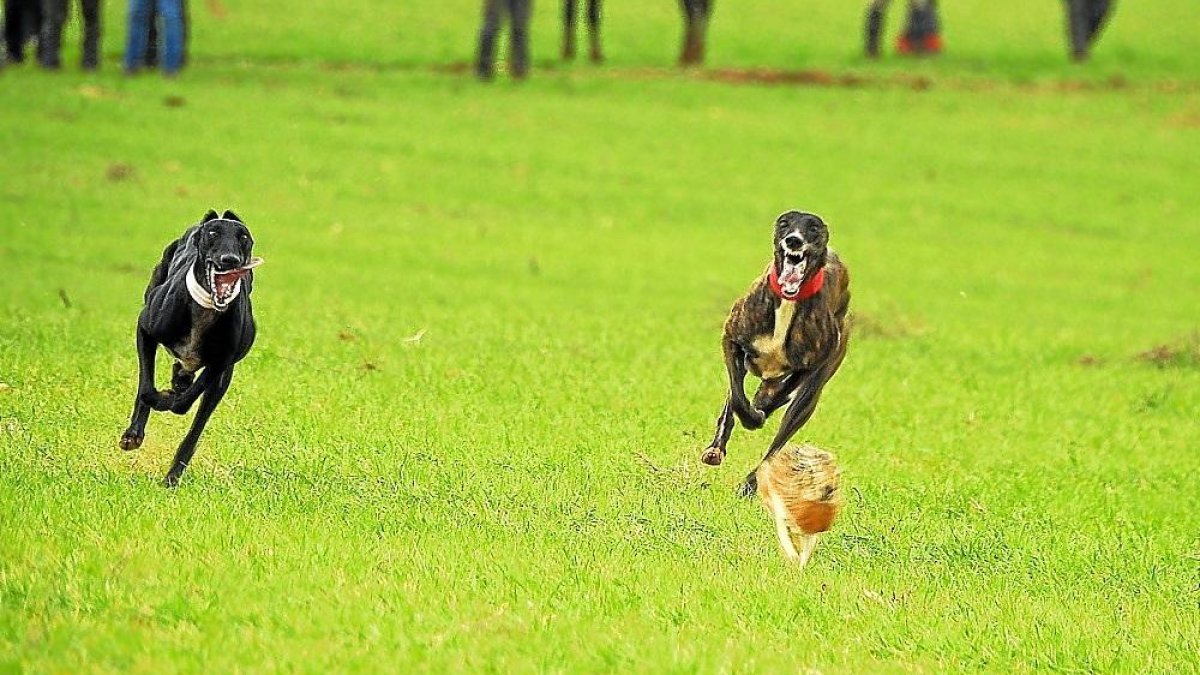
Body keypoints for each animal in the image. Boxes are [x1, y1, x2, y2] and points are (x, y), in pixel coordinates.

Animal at [118, 207, 262, 485]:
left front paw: (167, 397)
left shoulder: (221, 365)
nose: (229, 260)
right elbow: (145, 386)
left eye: (244, 238)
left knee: (196, 423)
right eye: (212, 233)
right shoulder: (145, 330)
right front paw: (134, 432)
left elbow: (184, 403)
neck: (207, 311)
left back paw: (172, 477)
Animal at [700, 210, 849, 494]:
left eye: (813, 227)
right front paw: (751, 416)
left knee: (778, 441)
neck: (789, 300)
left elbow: (775, 398)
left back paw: (750, 484)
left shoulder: (811, 368)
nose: (794, 240)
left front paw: (762, 409)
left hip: (810, 396)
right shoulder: (732, 341)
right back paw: (718, 447)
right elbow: (737, 397)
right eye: (784, 223)